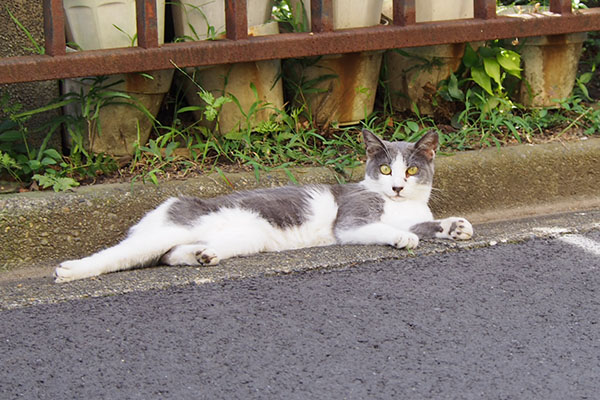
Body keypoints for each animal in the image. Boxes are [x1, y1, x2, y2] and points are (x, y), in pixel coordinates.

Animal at [52, 130, 474, 282]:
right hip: (175, 226)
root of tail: (167, 203)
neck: (399, 207)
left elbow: (428, 225)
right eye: (385, 168)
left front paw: (455, 226)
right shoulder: (352, 220)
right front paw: (403, 239)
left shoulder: (416, 215)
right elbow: (385, 229)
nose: (398, 187)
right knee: (122, 253)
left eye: (412, 170)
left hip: (245, 237)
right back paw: (71, 270)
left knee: (170, 255)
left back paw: (202, 256)